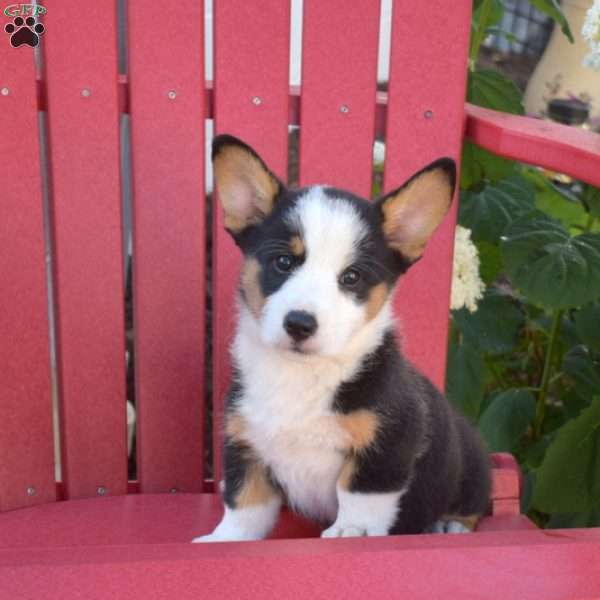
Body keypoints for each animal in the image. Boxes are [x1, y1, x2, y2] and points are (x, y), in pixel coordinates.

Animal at [195, 136, 490, 544]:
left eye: (351, 277)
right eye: (284, 262)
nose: (299, 324)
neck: (301, 375)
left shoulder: (388, 444)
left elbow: (359, 494)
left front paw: (351, 531)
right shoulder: (245, 441)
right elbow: (246, 505)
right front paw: (224, 540)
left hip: (471, 468)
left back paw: (451, 523)